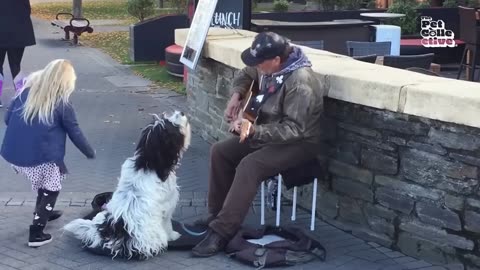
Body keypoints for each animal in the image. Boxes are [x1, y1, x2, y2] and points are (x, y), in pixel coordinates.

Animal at [63, 110, 191, 260]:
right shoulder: (167, 206)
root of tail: (110, 232)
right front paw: (173, 236)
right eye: (171, 124)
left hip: (101, 213)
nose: (181, 112)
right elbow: (168, 224)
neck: (147, 163)